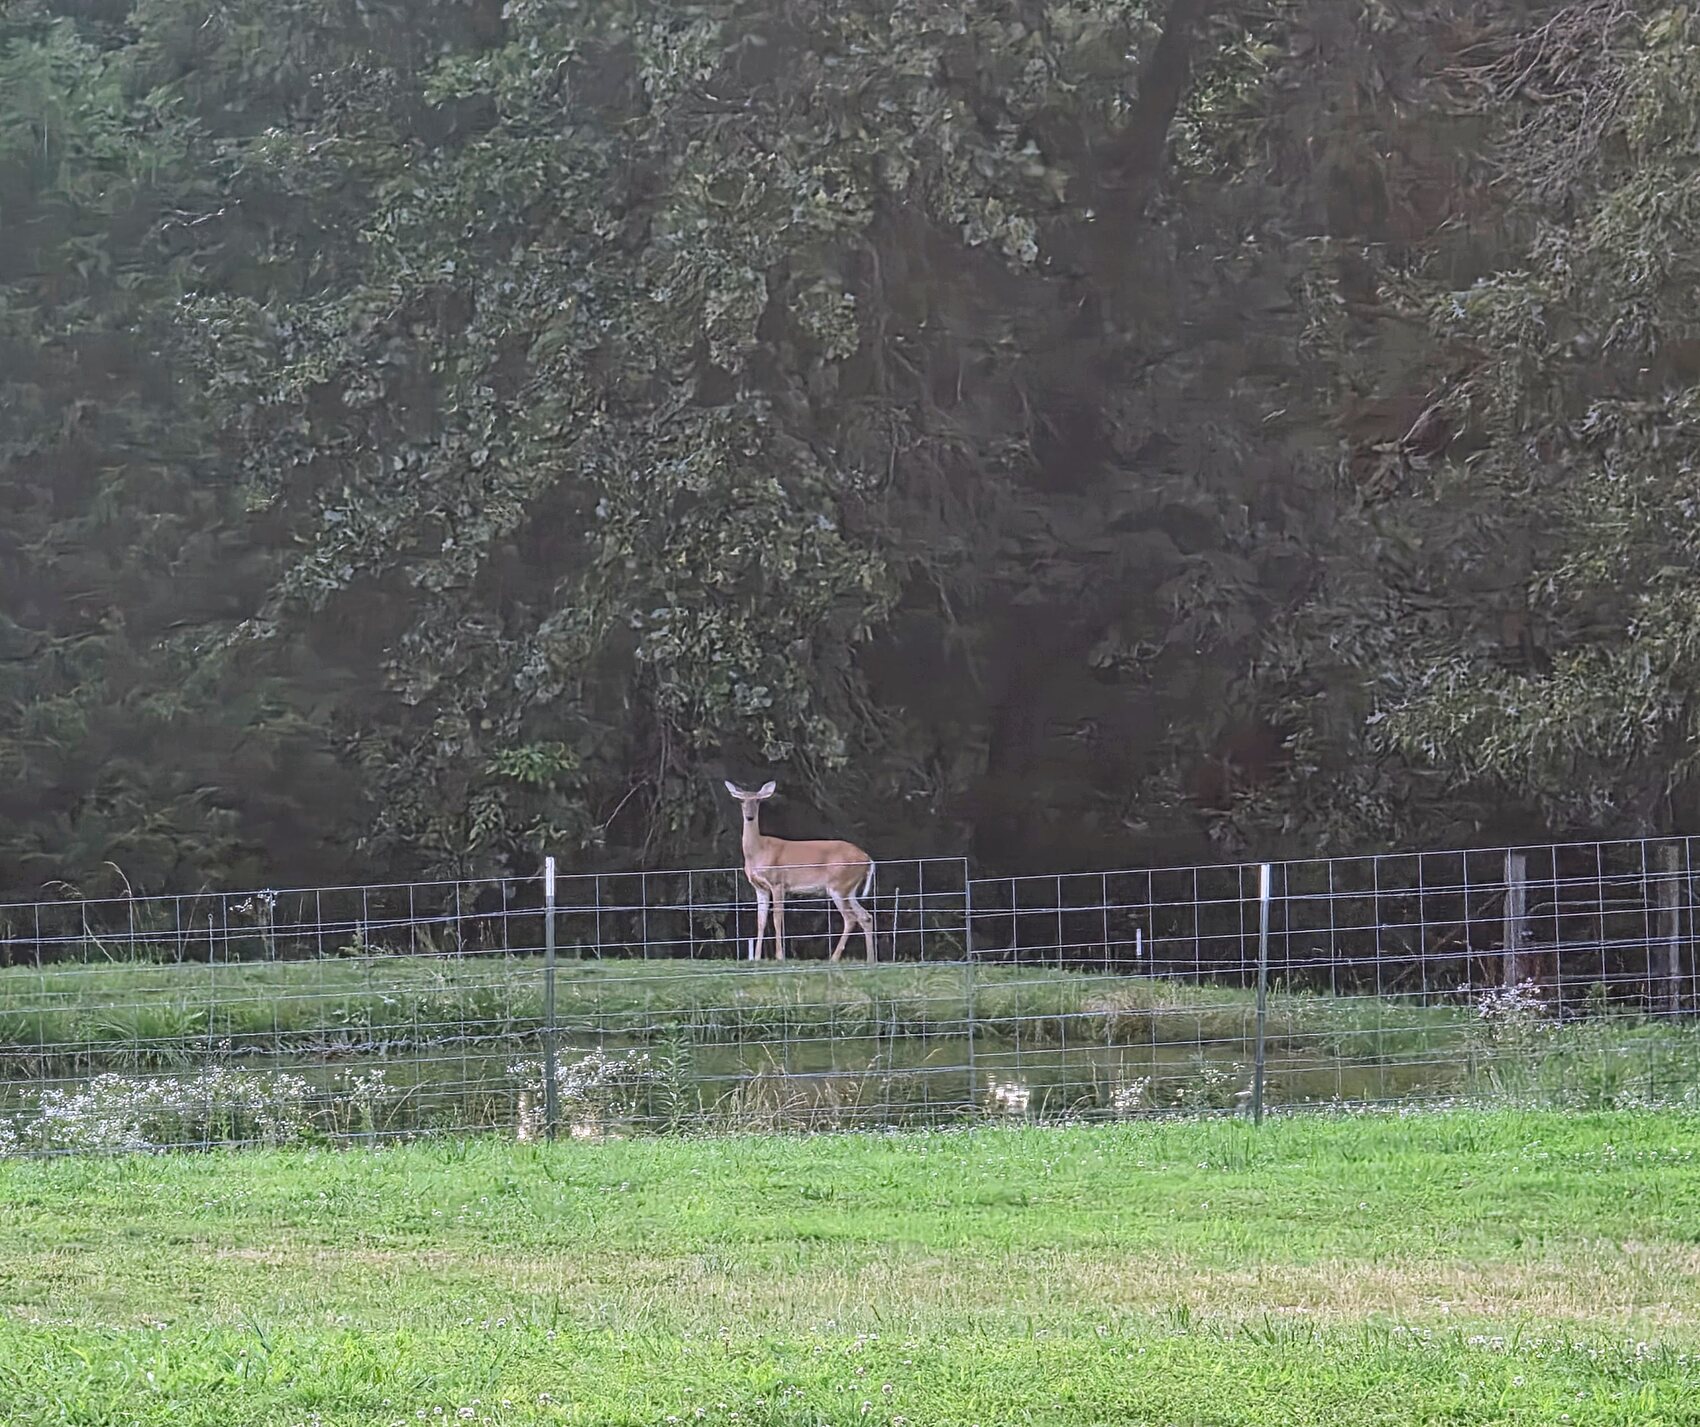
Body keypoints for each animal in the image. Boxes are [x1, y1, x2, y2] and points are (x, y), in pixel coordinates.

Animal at [723, 780, 876, 963]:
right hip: (849, 889)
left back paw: (834, 958)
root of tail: (868, 859)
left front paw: (780, 956)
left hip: (839, 885)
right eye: (741, 800)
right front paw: (757, 957)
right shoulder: (759, 887)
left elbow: (777, 917)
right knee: (865, 916)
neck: (759, 852)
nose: (750, 816)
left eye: (758, 800)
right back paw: (870, 959)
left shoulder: (778, 882)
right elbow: (760, 920)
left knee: (851, 918)